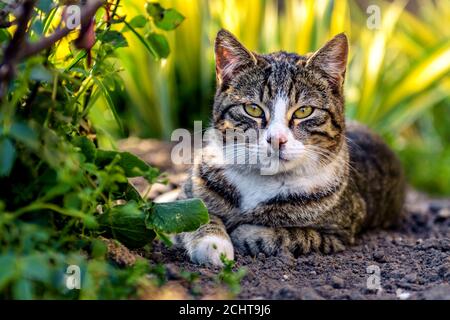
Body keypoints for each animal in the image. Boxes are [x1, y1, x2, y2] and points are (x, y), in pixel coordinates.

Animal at [174, 29, 406, 264]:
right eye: (253, 109)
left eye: (304, 111)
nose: (277, 139)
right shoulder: (190, 191)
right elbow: (194, 213)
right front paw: (213, 244)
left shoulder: (340, 233)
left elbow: (293, 235)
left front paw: (244, 231)